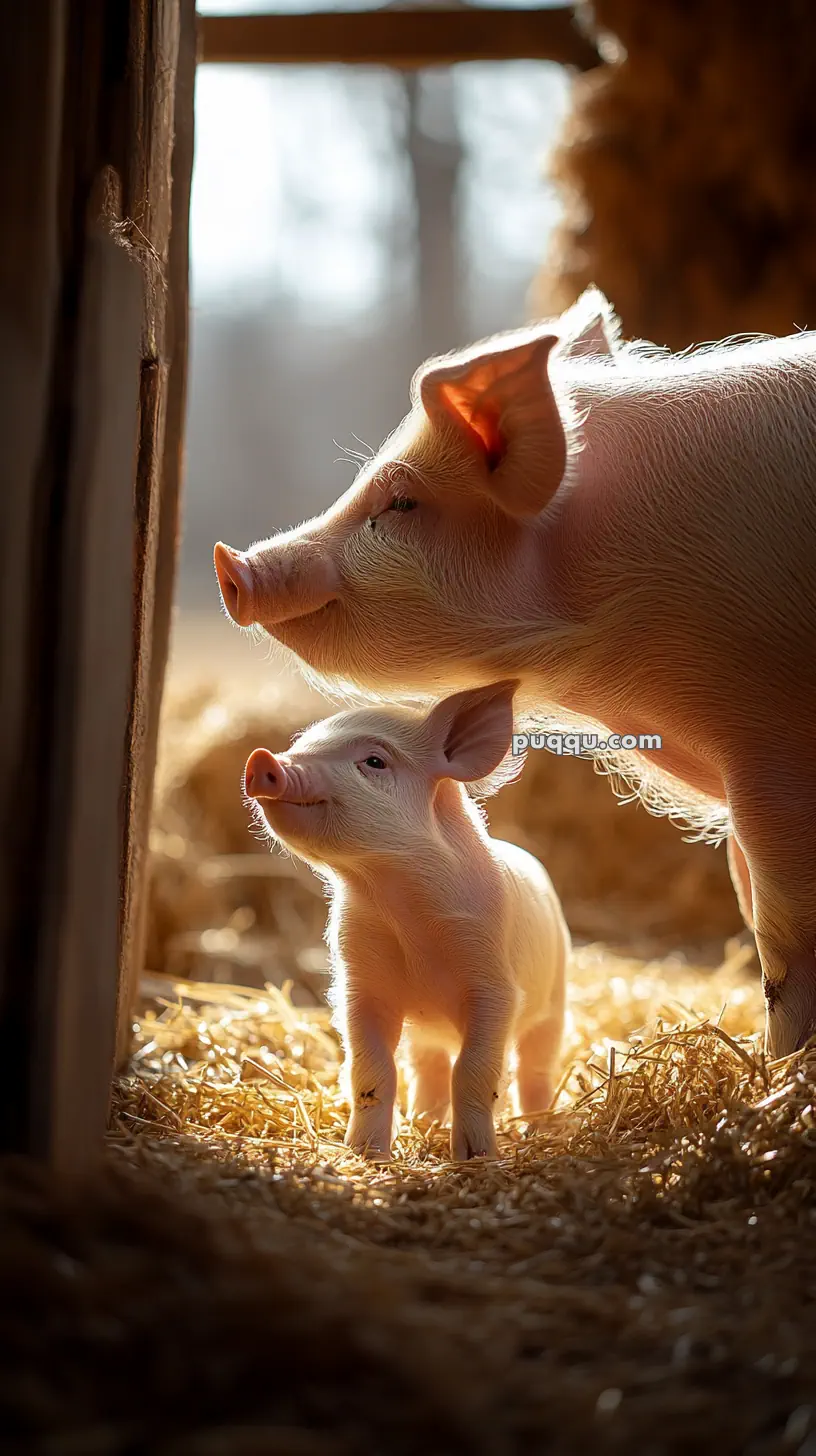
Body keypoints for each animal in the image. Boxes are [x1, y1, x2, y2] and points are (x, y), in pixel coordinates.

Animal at [241, 675, 568, 1164]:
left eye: (375, 761)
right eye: (302, 744)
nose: (263, 759)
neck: (401, 910)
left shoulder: (495, 986)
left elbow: (474, 1070)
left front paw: (474, 1158)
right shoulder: (360, 984)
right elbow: (371, 1071)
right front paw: (366, 1154)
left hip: (554, 1000)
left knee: (535, 1065)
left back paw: (537, 1128)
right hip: (426, 1032)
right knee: (428, 1065)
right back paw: (424, 1122)